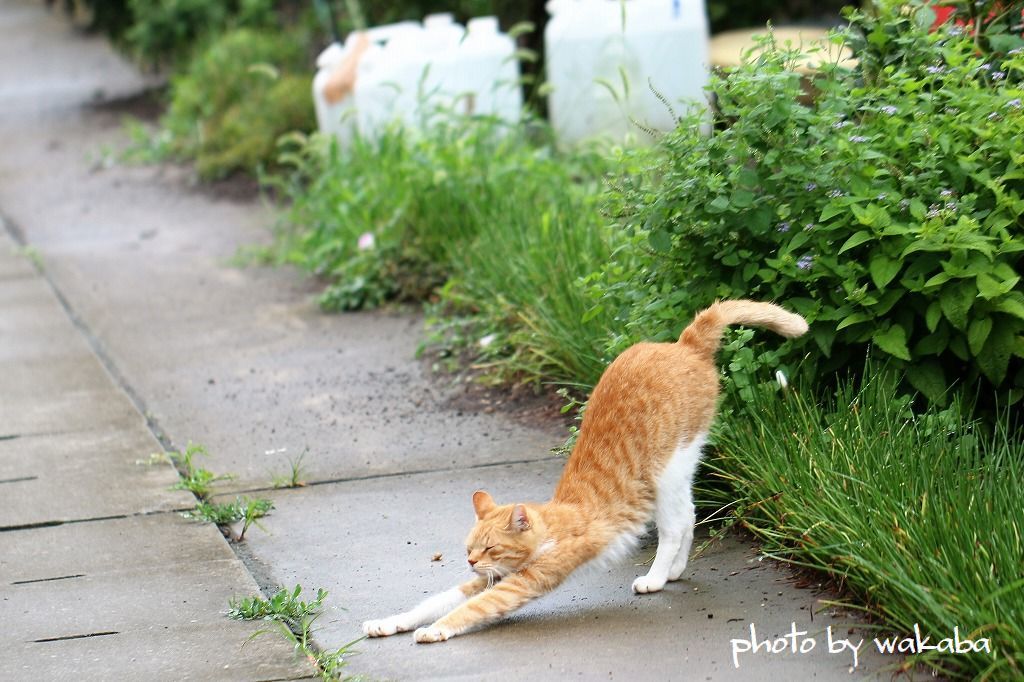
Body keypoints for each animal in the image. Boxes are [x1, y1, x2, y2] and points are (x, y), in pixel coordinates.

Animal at [364, 301, 802, 638]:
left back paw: (656, 577)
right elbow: (438, 601)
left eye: (489, 548)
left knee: (676, 524)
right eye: (469, 549)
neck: (549, 530)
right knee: (691, 514)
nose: (471, 561)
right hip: (682, 468)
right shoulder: (489, 579)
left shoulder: (522, 582)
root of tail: (684, 344)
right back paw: (675, 571)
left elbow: (471, 609)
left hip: (667, 471)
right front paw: (391, 622)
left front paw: (433, 631)